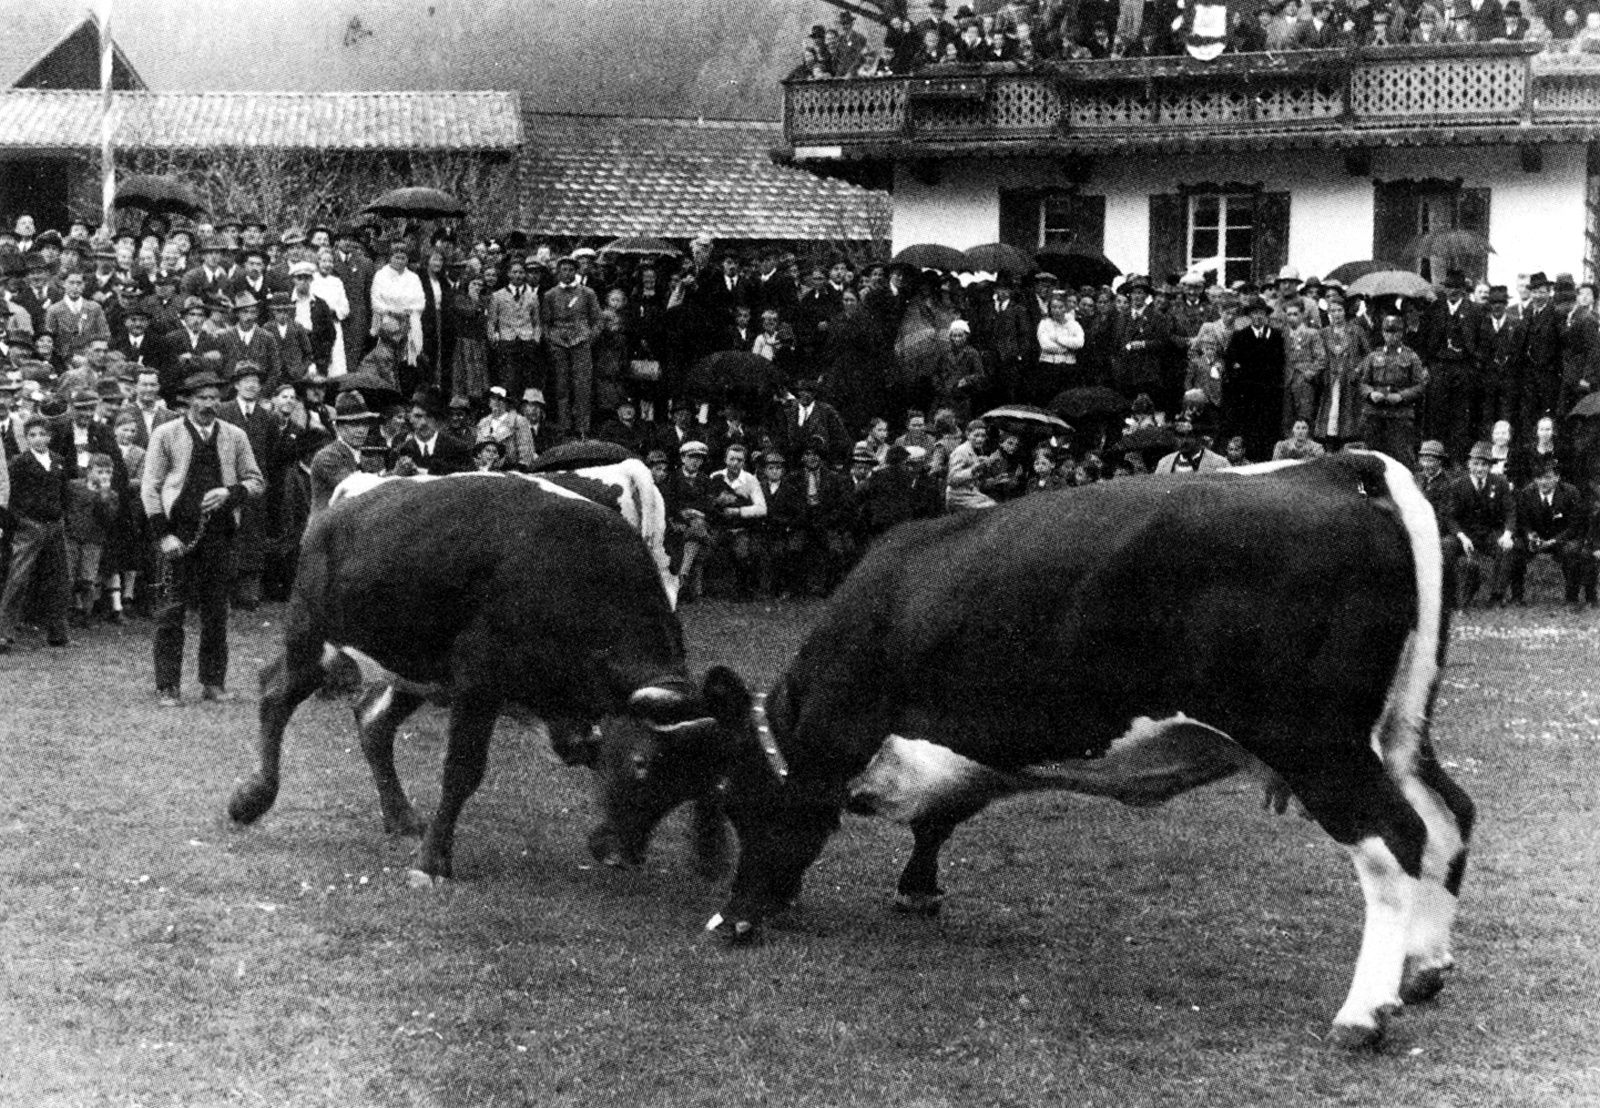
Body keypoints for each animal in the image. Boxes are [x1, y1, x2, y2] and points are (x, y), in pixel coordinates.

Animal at [225, 477, 748, 883]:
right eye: (641, 762)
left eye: (693, 783)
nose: (621, 855)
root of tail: (345, 500)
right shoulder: (479, 684)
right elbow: (462, 771)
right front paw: (432, 863)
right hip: (314, 639)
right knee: (275, 693)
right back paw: (252, 798)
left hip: (416, 672)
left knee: (372, 721)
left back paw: (399, 816)